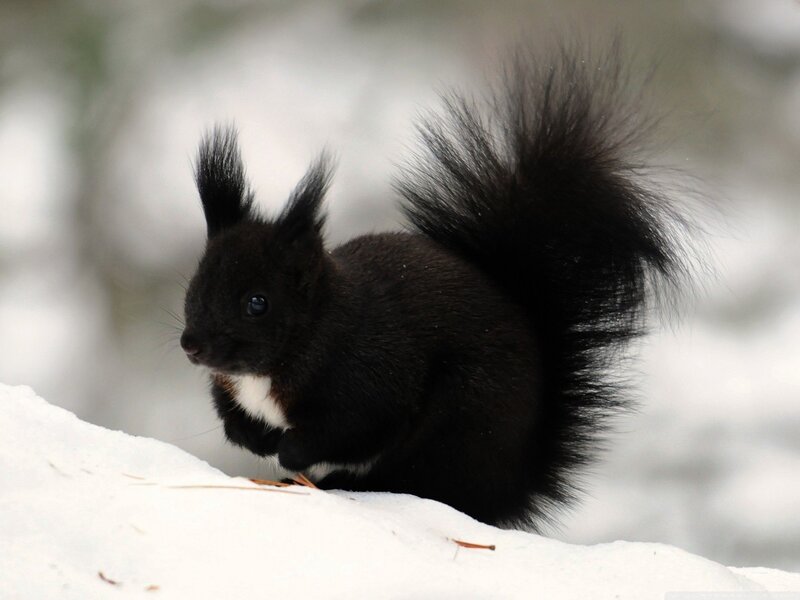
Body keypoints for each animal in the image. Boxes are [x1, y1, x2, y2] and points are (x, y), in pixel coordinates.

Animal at [179, 44, 689, 528]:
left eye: (257, 303)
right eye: (195, 287)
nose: (192, 346)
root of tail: (513, 485)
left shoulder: (371, 380)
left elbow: (350, 430)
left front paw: (289, 450)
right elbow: (232, 416)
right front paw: (253, 437)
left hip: (456, 427)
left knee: (419, 482)